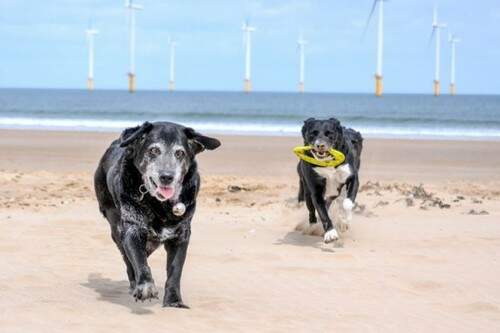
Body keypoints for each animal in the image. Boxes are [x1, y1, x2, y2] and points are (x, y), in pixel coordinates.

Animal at [93, 120, 221, 308]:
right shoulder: (132, 230)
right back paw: (134, 283)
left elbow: (175, 271)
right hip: (115, 225)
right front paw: (145, 286)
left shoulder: (181, 235)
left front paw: (174, 301)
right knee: (128, 259)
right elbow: (140, 261)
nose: (167, 177)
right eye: (153, 150)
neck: (160, 205)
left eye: (180, 153)